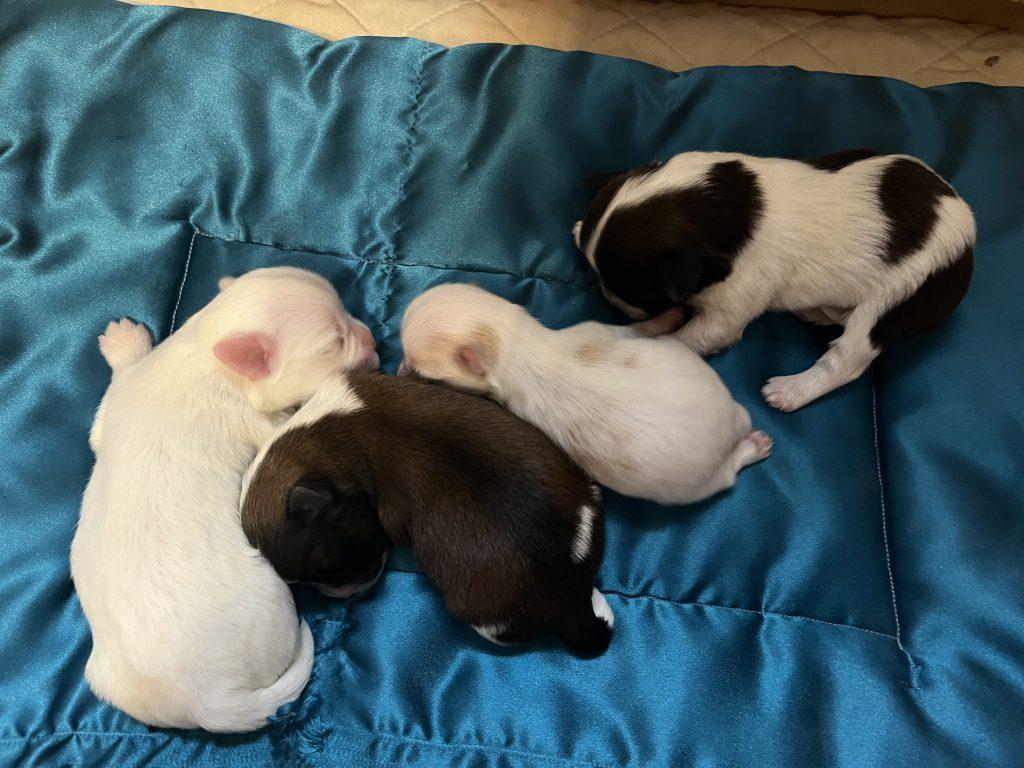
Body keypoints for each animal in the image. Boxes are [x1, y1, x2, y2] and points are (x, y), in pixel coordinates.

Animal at [71, 267, 378, 732]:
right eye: (336, 342)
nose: (375, 340)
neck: (206, 354)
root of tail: (210, 702)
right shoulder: (260, 422)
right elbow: (286, 424)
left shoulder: (114, 405)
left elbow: (103, 414)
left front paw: (123, 341)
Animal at [241, 370, 614, 658]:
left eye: (371, 559)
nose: (349, 589)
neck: (324, 445)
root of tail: (568, 597)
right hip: (587, 494)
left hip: (483, 616)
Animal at [400, 283, 771, 505]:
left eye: (420, 371)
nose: (399, 371)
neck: (515, 344)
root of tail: (733, 427)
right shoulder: (603, 331)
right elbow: (642, 329)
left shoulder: (597, 330)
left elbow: (641, 327)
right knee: (730, 472)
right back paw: (758, 445)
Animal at [574, 150, 975, 411]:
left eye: (632, 291)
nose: (609, 300)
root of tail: (969, 233)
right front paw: (580, 229)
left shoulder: (726, 314)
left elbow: (685, 338)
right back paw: (816, 312)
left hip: (898, 300)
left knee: (846, 359)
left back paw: (790, 391)